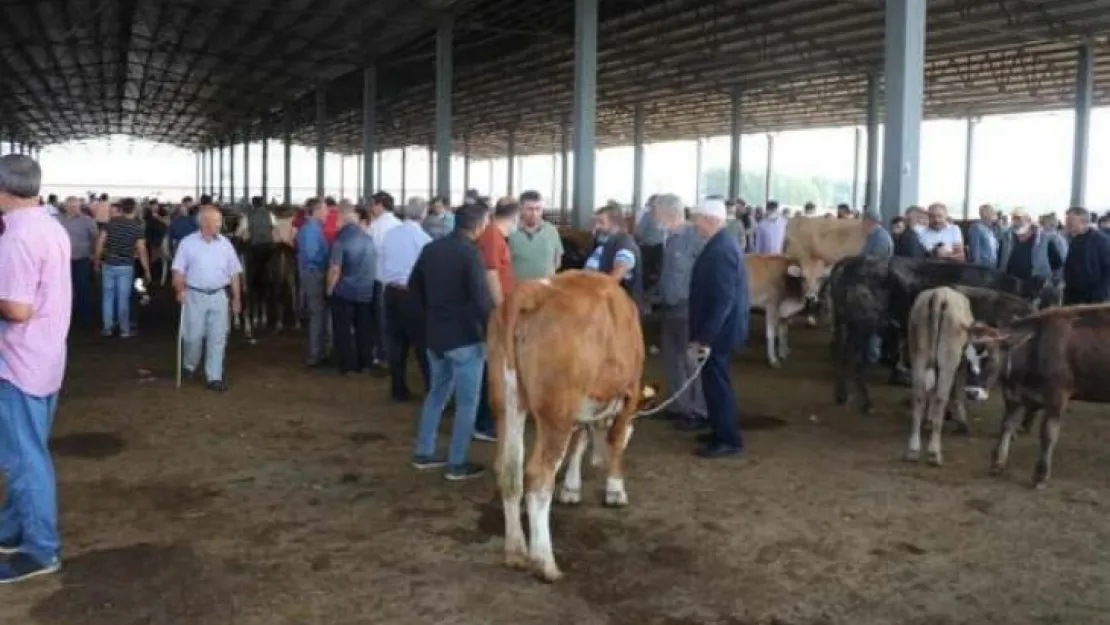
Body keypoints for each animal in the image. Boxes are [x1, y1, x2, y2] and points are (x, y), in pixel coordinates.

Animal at [490, 271, 648, 586]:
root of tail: (531, 291)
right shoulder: (630, 390)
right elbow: (614, 440)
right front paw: (615, 490)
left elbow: (580, 440)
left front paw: (572, 488)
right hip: (556, 412)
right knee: (538, 476)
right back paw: (544, 562)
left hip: (507, 403)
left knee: (508, 470)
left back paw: (516, 551)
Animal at [967, 306, 1110, 490]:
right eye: (966, 358)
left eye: (990, 358)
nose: (971, 392)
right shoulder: (1016, 396)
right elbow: (1006, 426)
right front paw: (997, 463)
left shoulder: (1057, 397)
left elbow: (1048, 435)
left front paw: (1041, 476)